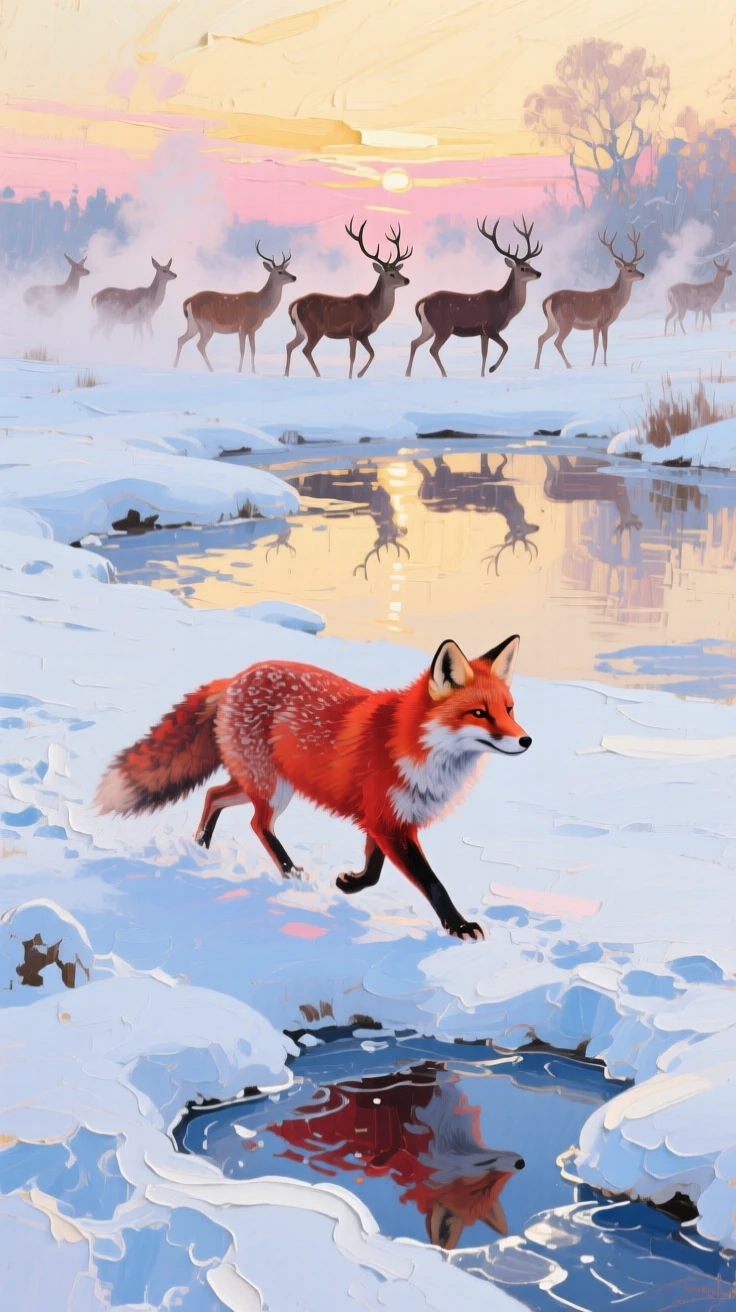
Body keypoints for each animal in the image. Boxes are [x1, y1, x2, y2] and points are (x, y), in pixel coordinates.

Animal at [96, 635, 531, 940]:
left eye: (509, 710)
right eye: (479, 713)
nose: (526, 741)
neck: (413, 746)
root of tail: (236, 676)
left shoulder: (385, 818)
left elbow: (374, 870)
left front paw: (349, 883)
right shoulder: (387, 819)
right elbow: (432, 882)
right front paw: (459, 927)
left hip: (260, 784)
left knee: (212, 795)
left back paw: (200, 846)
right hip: (273, 789)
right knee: (257, 824)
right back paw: (289, 872)